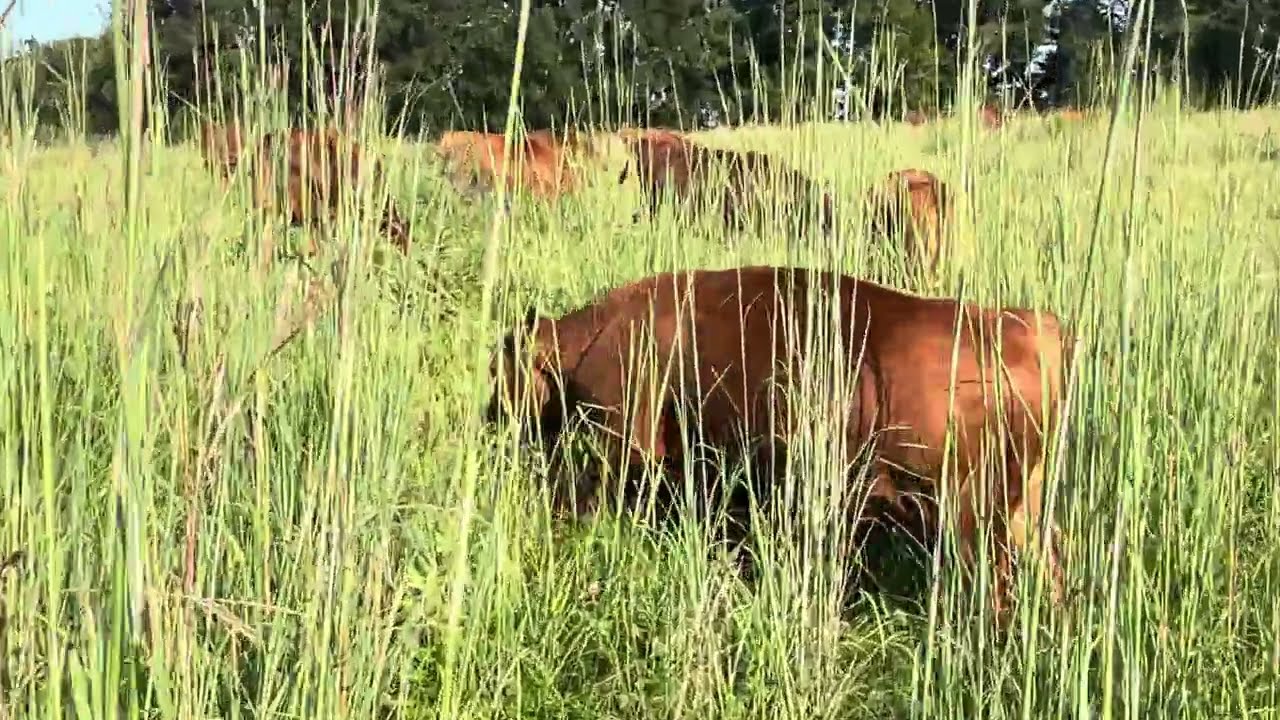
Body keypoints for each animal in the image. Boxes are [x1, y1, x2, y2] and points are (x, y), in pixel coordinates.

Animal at [486, 265, 1070, 626]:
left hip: (978, 517)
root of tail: (1026, 325)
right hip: (1024, 509)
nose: (489, 415)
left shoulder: (626, 446)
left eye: (499, 368)